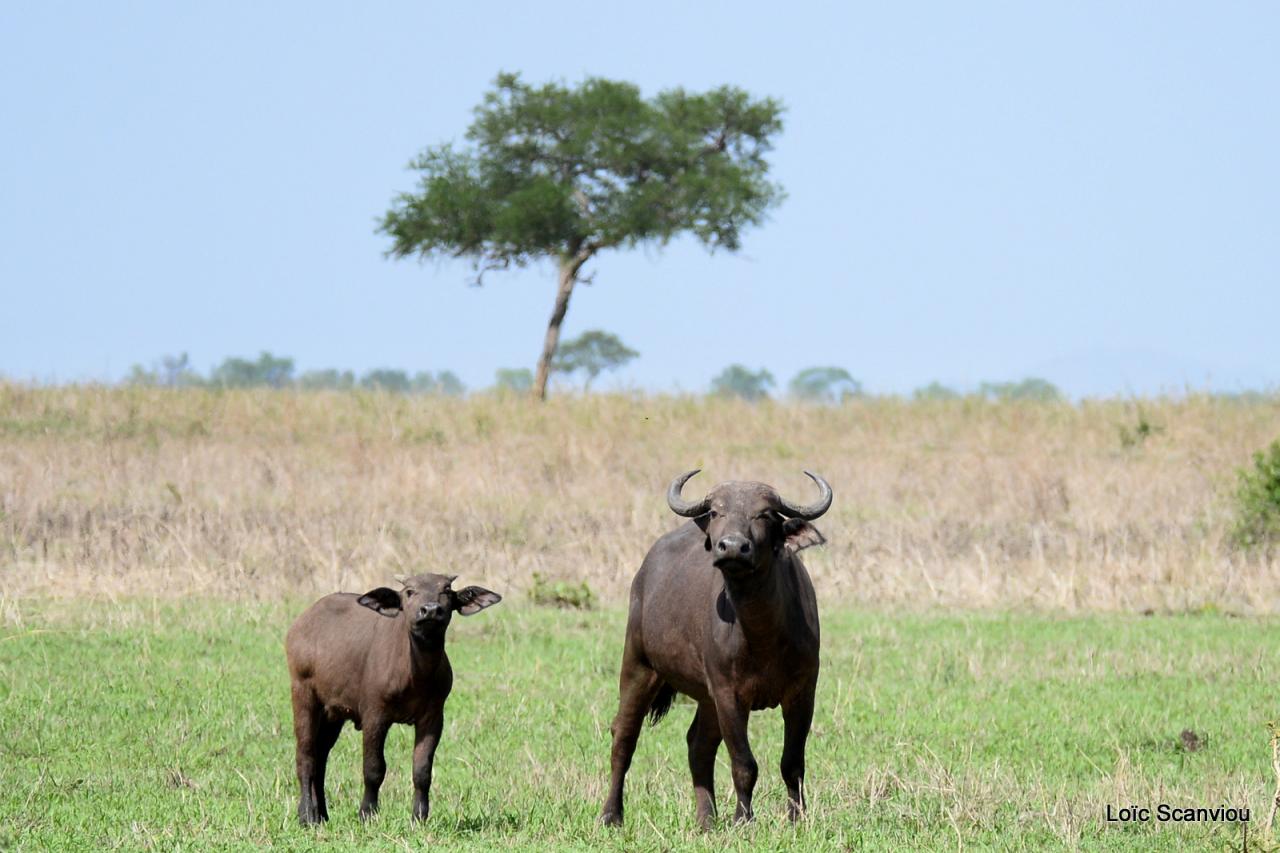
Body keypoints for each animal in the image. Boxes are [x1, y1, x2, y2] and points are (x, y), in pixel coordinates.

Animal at [285, 571, 499, 824]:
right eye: (409, 591)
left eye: (446, 590)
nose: (430, 610)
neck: (415, 675)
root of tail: (300, 625)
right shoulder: (375, 715)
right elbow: (373, 768)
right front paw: (367, 813)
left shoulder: (433, 718)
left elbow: (422, 770)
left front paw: (419, 816)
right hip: (303, 694)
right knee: (306, 756)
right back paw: (308, 816)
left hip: (333, 713)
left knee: (320, 758)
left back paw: (321, 815)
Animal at [601, 468, 834, 824]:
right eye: (715, 512)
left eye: (765, 514)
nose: (733, 547)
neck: (762, 634)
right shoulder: (728, 694)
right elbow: (744, 763)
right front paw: (743, 819)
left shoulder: (803, 692)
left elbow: (792, 763)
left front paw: (797, 818)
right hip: (638, 665)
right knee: (624, 736)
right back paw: (611, 815)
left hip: (704, 696)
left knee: (698, 746)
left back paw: (706, 820)